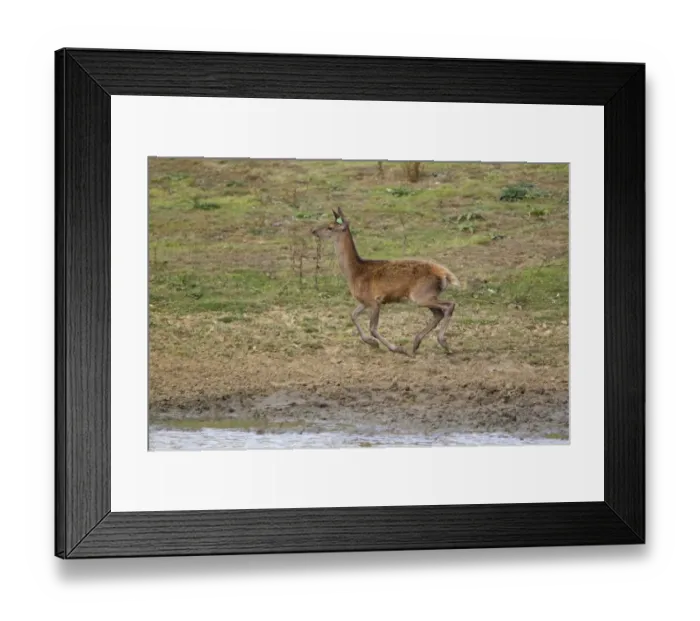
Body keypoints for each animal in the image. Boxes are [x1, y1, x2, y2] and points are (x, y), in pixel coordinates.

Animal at [312, 207, 459, 356]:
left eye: (330, 227)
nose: (314, 231)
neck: (355, 273)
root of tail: (445, 274)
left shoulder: (375, 300)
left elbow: (372, 328)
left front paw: (395, 348)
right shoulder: (364, 301)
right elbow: (353, 315)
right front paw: (372, 342)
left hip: (422, 295)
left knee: (449, 305)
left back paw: (443, 343)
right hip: (427, 296)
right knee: (438, 313)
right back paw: (416, 343)